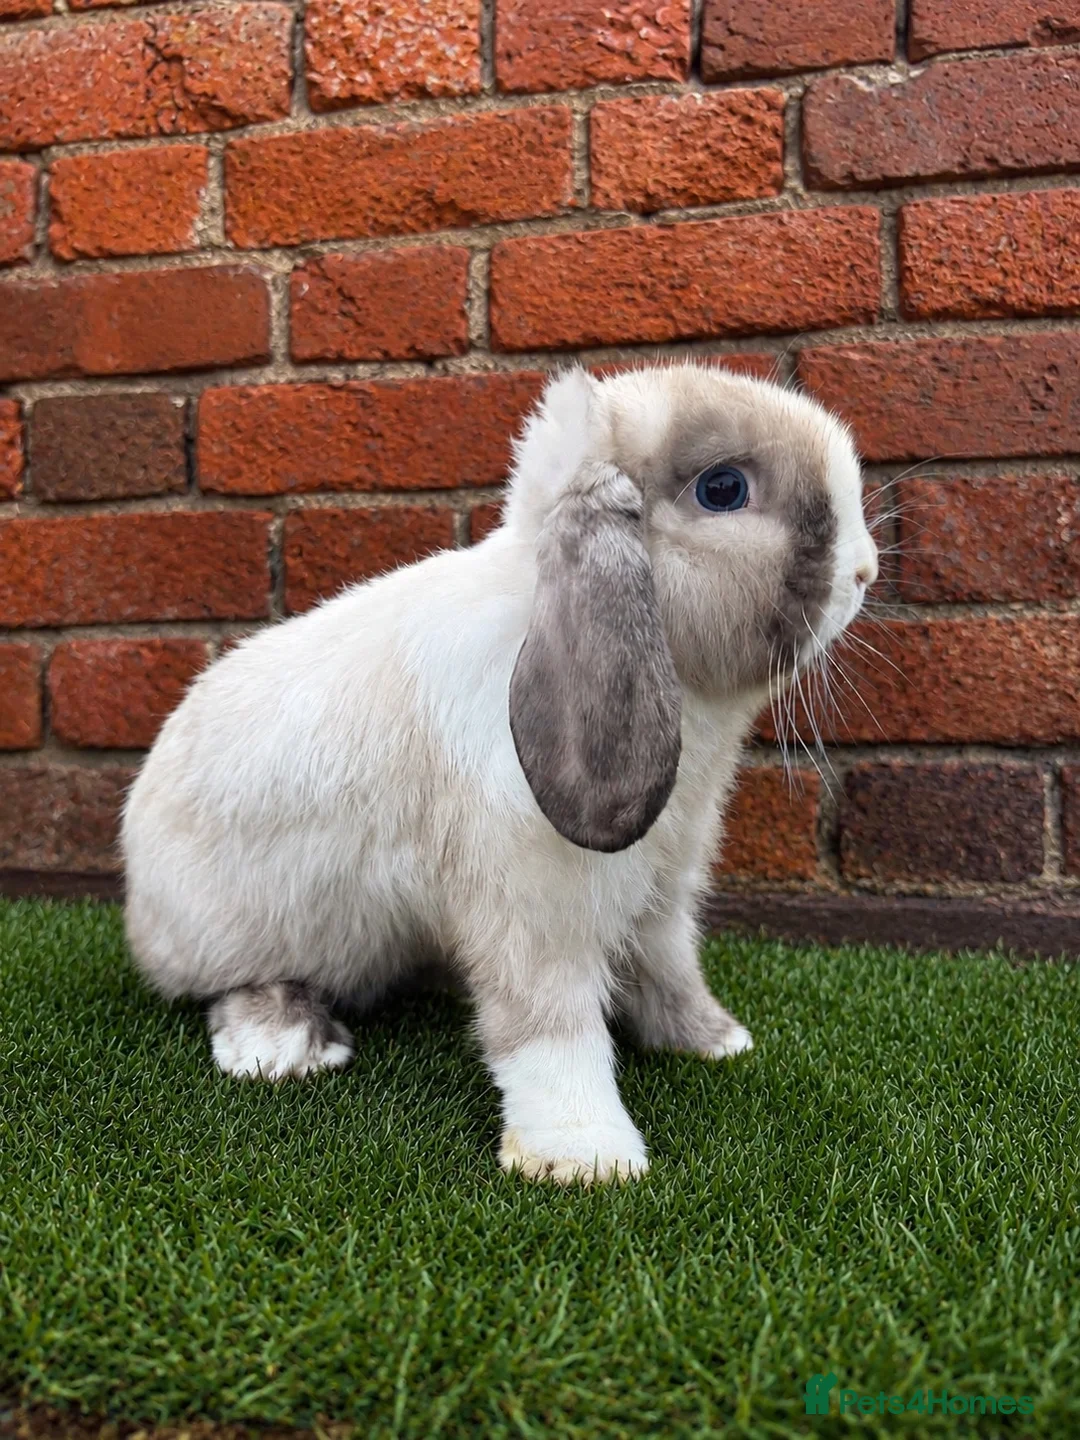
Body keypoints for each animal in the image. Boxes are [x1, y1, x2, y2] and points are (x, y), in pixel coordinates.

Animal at [122, 362, 877, 1184]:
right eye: (723, 488)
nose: (866, 570)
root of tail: (138, 898)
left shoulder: (661, 892)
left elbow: (668, 970)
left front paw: (712, 1040)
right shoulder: (534, 907)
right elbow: (549, 1030)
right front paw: (584, 1158)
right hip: (241, 929)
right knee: (230, 987)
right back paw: (284, 1045)